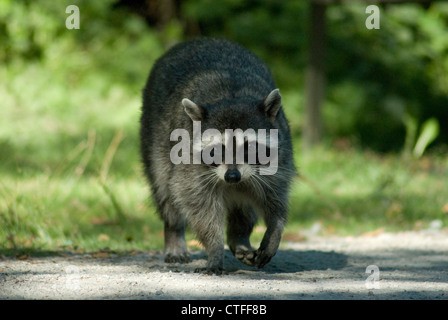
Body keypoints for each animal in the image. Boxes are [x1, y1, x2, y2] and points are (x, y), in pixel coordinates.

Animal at [140, 37, 294, 272]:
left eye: (248, 147)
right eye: (218, 149)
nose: (232, 176)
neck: (232, 96)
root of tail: (200, 40)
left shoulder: (280, 157)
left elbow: (275, 196)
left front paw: (275, 228)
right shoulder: (188, 162)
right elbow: (196, 202)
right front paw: (214, 247)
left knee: (244, 205)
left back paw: (239, 236)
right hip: (154, 135)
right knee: (165, 188)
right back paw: (174, 232)